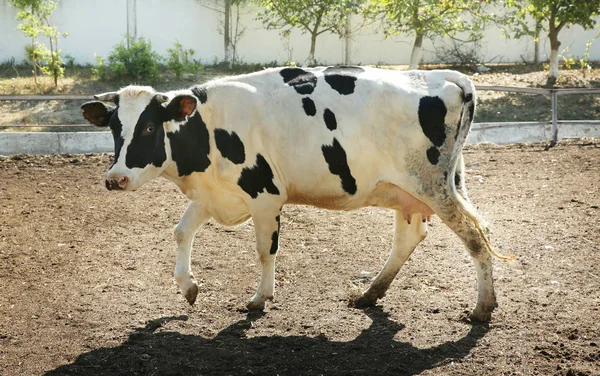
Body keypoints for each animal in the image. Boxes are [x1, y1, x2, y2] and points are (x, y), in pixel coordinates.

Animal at [79, 66, 510, 322]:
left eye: (150, 127)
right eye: (115, 128)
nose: (115, 178)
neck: (209, 125)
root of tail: (447, 76)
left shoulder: (265, 194)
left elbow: (265, 249)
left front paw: (260, 298)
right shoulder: (214, 193)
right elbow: (182, 231)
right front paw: (188, 286)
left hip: (433, 187)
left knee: (476, 237)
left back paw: (482, 308)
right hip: (414, 190)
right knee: (412, 237)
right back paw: (369, 294)